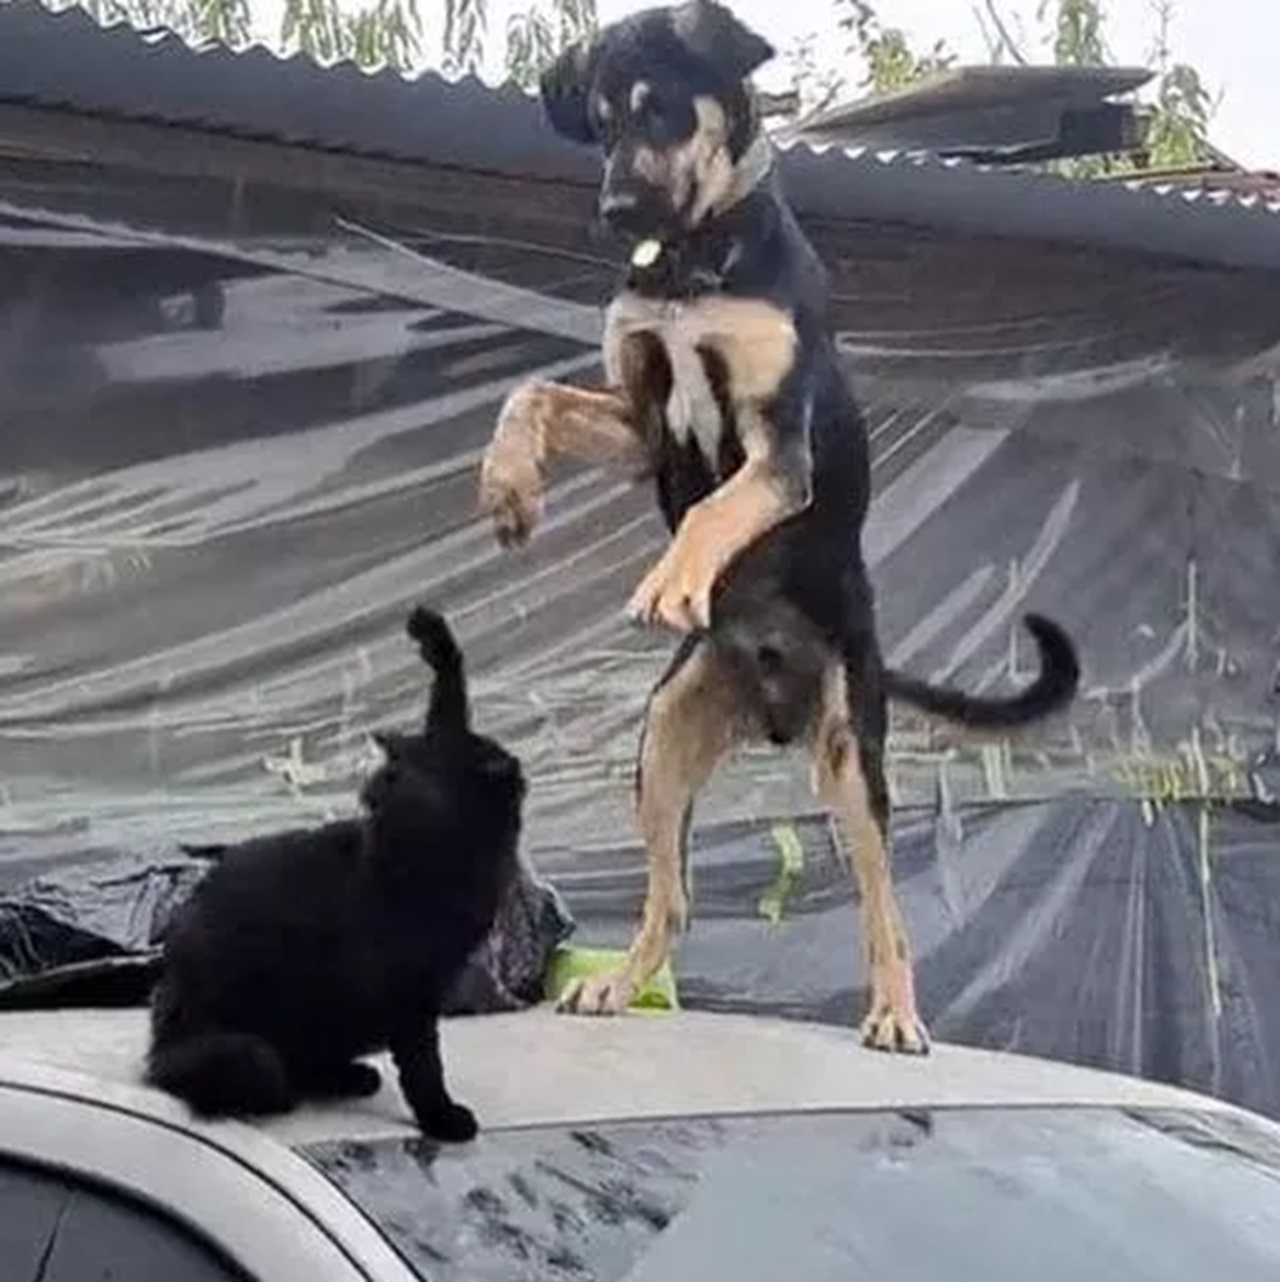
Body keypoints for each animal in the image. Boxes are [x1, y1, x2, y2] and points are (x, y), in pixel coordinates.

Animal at [140, 602, 520, 1143]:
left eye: (408, 790)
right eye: (379, 791)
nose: (374, 804)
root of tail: (153, 1053)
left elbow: (449, 693)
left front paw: (434, 637)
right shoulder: (408, 994)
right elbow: (424, 1067)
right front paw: (442, 1118)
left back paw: (348, 1075)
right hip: (246, 1051)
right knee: (266, 1077)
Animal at [482, 2, 1082, 1051]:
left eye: (662, 110)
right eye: (599, 122)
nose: (616, 214)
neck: (693, 259)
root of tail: (777, 707)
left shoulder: (777, 453)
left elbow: (716, 505)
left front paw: (672, 581)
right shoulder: (639, 421)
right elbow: (532, 396)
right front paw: (510, 487)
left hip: (852, 759)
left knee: (886, 909)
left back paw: (896, 1016)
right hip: (664, 742)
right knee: (673, 900)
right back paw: (619, 984)